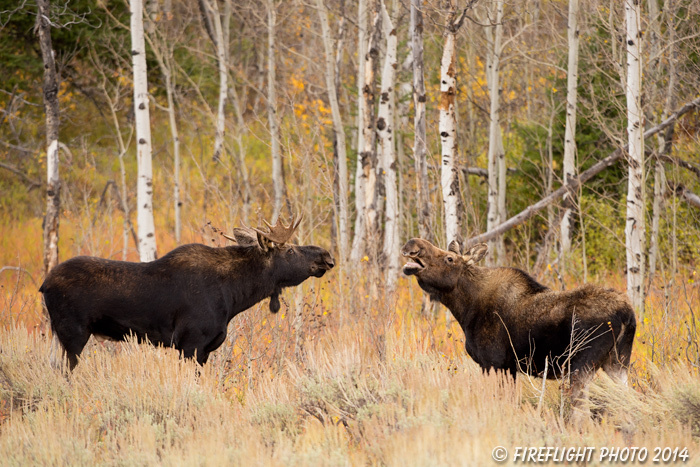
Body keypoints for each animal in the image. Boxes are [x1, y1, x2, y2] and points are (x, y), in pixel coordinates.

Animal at [41, 218, 336, 372]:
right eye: (290, 251)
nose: (326, 256)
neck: (234, 296)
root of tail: (44, 285)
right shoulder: (191, 344)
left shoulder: (202, 350)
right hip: (73, 335)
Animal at [400, 238, 636, 414]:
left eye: (449, 258)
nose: (412, 244)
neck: (465, 310)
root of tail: (627, 314)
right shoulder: (509, 367)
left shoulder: (493, 363)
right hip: (617, 363)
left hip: (581, 366)